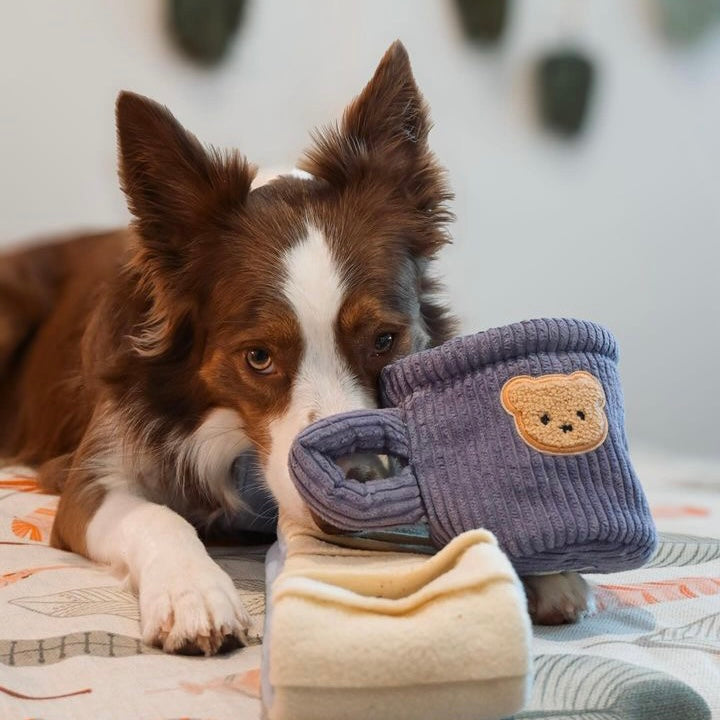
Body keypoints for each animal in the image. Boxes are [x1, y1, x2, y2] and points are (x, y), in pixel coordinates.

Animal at [0, 42, 592, 656]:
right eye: (259, 357)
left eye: (385, 340)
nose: (356, 484)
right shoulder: (88, 477)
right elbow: (160, 518)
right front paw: (195, 594)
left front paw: (547, 565)